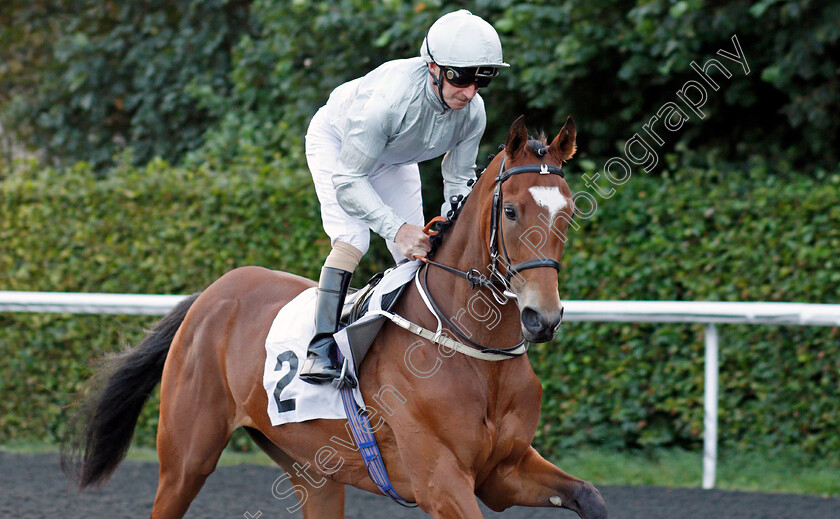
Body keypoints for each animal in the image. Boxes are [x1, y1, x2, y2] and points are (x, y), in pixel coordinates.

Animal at [62, 117, 608, 519]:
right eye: (511, 211)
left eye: (567, 214)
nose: (542, 317)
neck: (473, 351)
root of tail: (211, 295)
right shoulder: (441, 481)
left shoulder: (504, 469)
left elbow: (590, 495)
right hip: (185, 459)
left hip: (312, 470)